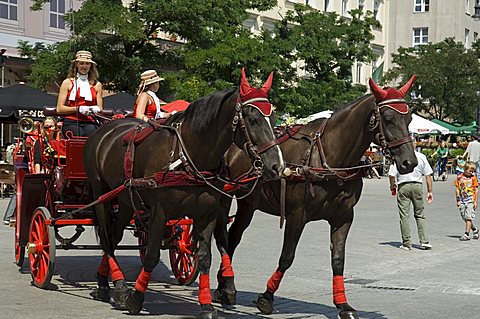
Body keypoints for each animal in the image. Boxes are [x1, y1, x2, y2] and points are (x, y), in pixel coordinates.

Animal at [82, 70, 284, 319]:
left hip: (127, 201)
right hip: (102, 194)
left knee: (114, 234)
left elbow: (204, 258)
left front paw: (207, 305)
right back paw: (114, 285)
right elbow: (151, 256)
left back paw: (108, 283)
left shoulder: (207, 214)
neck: (188, 155)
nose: (277, 166)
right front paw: (136, 298)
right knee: (106, 237)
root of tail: (105, 128)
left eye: (274, 120)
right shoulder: (159, 213)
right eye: (253, 120)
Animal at [215, 76, 420, 318]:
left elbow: (338, 260)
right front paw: (267, 297)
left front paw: (343, 304)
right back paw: (224, 286)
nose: (410, 162)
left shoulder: (343, 217)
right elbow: (287, 257)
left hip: (248, 204)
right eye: (388, 119)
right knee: (227, 237)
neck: (329, 160)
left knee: (232, 237)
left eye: (409, 119)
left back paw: (223, 285)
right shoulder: (296, 216)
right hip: (229, 198)